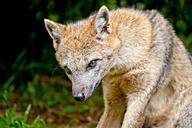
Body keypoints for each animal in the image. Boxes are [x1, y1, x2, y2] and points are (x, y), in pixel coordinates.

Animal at [43, 5, 192, 128]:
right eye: (68, 70)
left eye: (92, 63)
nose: (78, 97)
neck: (125, 68)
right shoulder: (113, 104)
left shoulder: (139, 98)